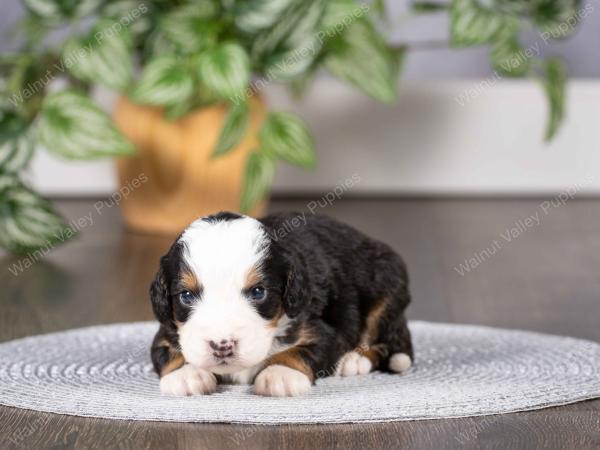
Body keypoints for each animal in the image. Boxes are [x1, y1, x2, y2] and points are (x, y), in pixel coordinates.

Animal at [150, 212, 412, 398]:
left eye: (258, 292)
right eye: (186, 296)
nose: (222, 345)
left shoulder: (323, 330)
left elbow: (301, 351)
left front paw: (280, 374)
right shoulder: (166, 332)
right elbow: (168, 352)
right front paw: (186, 374)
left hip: (387, 289)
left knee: (388, 342)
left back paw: (354, 360)